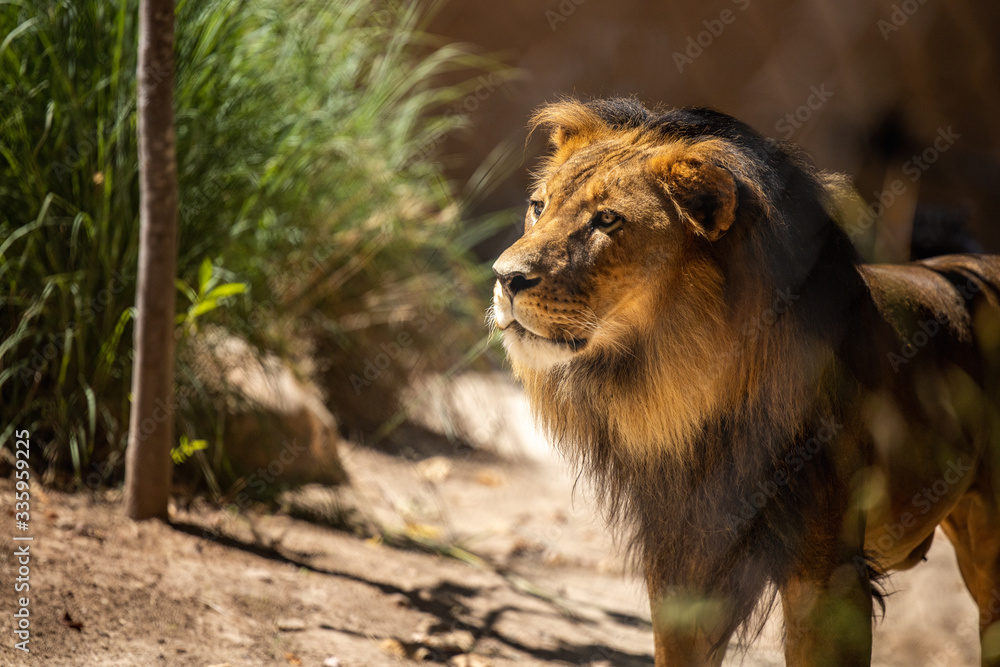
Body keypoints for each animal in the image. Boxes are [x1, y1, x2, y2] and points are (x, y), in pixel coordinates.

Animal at [490, 97, 1000, 666]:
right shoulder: (683, 564)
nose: (504, 277)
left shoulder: (827, 577)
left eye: (607, 220)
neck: (690, 388)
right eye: (538, 206)